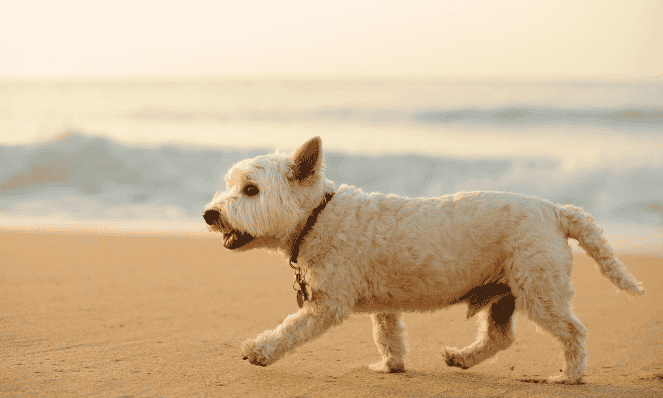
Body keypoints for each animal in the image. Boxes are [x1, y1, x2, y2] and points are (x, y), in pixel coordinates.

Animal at [205, 136, 644, 382]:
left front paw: (259, 350)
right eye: (230, 185)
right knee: (500, 335)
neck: (318, 216)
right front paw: (391, 366)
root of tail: (556, 210)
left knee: (573, 332)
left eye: (251, 190)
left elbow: (291, 328)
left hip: (539, 289)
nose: (210, 214)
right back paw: (463, 358)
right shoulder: (381, 305)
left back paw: (569, 376)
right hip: (506, 290)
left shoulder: (327, 303)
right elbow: (389, 334)